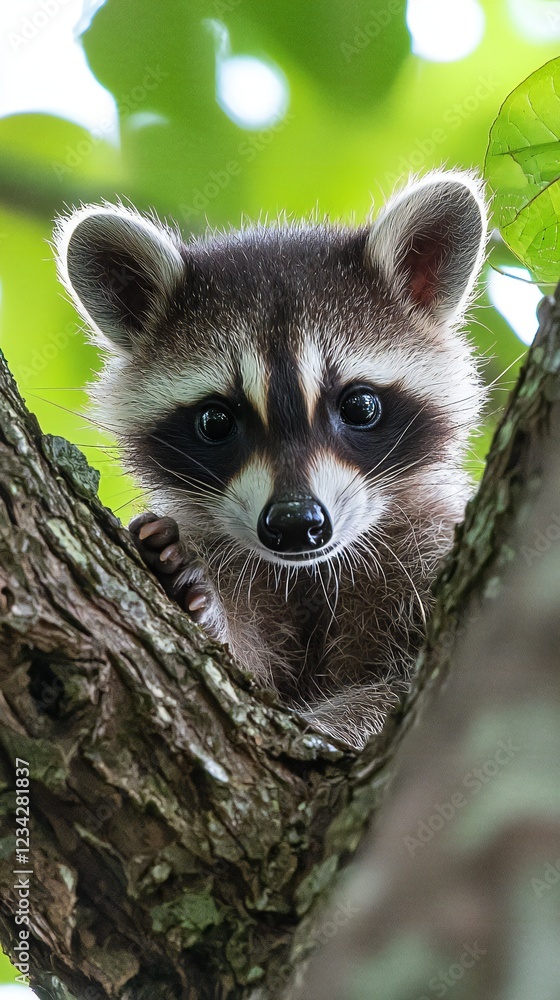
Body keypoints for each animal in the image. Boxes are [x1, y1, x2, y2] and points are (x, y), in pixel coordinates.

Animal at [54, 172, 487, 748]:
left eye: (360, 406)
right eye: (215, 422)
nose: (295, 523)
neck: (309, 572)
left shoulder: (431, 543)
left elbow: (400, 693)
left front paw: (333, 722)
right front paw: (211, 606)